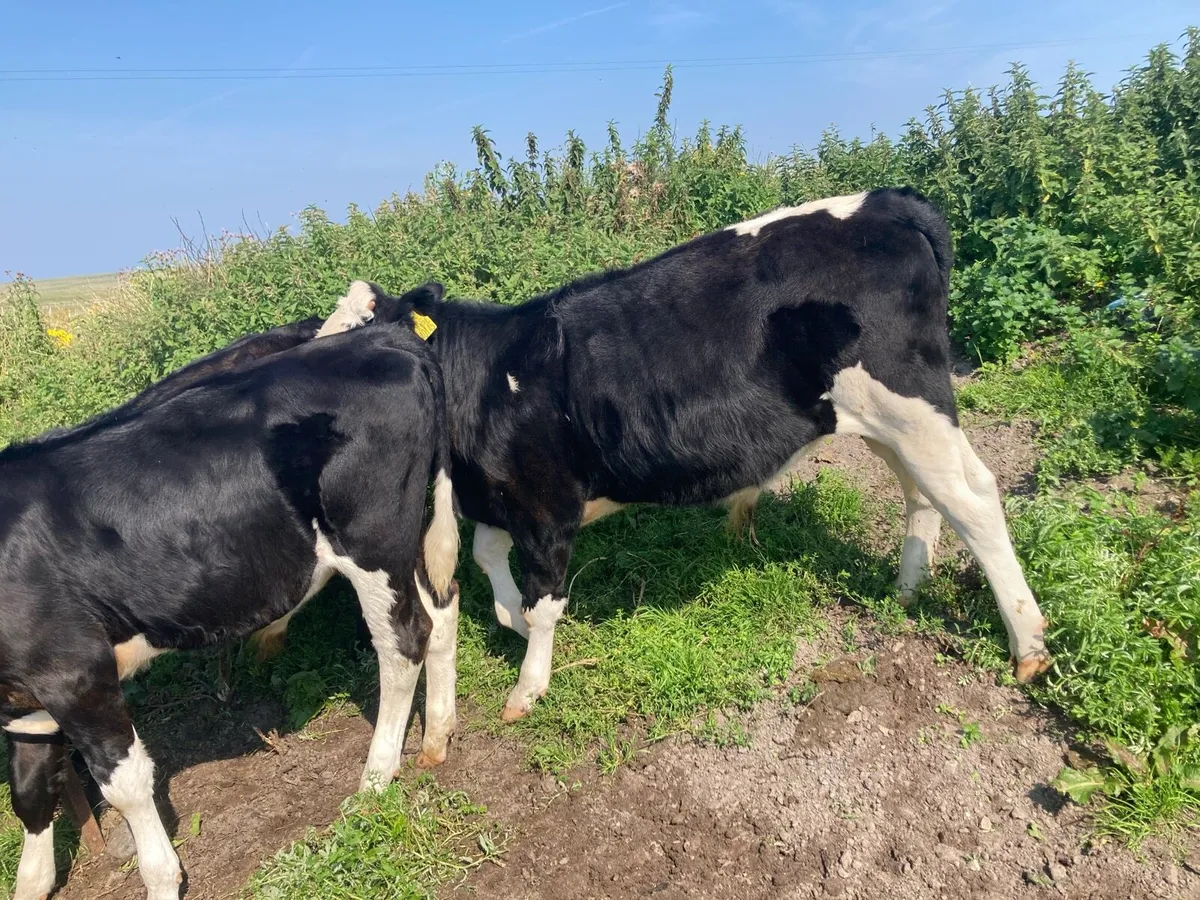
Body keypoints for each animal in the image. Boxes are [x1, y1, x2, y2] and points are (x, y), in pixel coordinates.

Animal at [0, 282, 459, 900]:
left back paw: (375, 780)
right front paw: (32, 883)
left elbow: (126, 786)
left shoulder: (74, 672)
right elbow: (28, 794)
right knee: (441, 609)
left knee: (404, 639)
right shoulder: (27, 701)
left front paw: (163, 879)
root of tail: (385, 336)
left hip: (372, 535)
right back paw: (437, 735)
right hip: (410, 535)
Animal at [348, 187, 1054, 725]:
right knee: (924, 493)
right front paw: (511, 625)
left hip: (910, 400)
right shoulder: (502, 495)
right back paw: (908, 589)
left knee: (975, 499)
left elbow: (543, 596)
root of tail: (889, 201)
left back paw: (1028, 646)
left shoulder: (546, 505)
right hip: (886, 418)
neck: (494, 373)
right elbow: (489, 559)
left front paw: (527, 685)